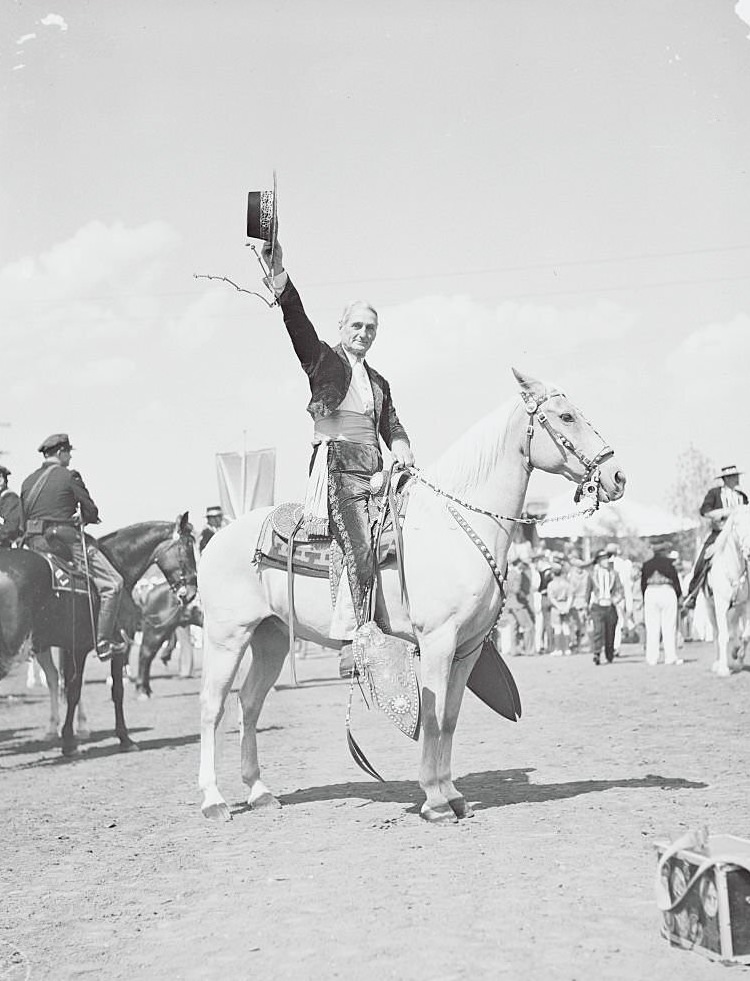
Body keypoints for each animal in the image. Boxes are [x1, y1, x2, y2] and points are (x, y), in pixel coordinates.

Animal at [198, 372, 628, 824]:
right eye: (566, 416)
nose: (617, 475)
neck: (454, 528)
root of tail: (216, 539)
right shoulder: (438, 640)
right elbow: (434, 717)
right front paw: (435, 801)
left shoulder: (468, 647)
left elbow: (451, 717)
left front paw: (453, 794)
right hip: (227, 636)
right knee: (213, 707)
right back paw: (214, 800)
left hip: (272, 638)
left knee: (249, 702)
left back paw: (259, 792)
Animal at [704, 506, 750, 672]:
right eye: (736, 524)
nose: (749, 551)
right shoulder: (720, 604)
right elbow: (723, 635)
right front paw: (723, 669)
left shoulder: (746, 604)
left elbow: (746, 635)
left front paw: (738, 654)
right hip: (710, 608)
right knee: (717, 633)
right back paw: (718, 663)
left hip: (736, 609)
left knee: (735, 630)